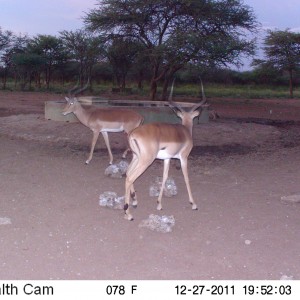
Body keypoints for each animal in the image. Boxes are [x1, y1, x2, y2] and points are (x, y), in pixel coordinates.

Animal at [123, 82, 206, 220]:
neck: (185, 131)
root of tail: (133, 134)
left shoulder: (167, 159)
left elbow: (165, 176)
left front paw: (159, 204)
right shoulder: (184, 157)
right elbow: (186, 176)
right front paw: (193, 204)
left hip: (136, 157)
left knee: (127, 173)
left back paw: (134, 201)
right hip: (146, 160)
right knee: (130, 177)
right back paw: (128, 213)